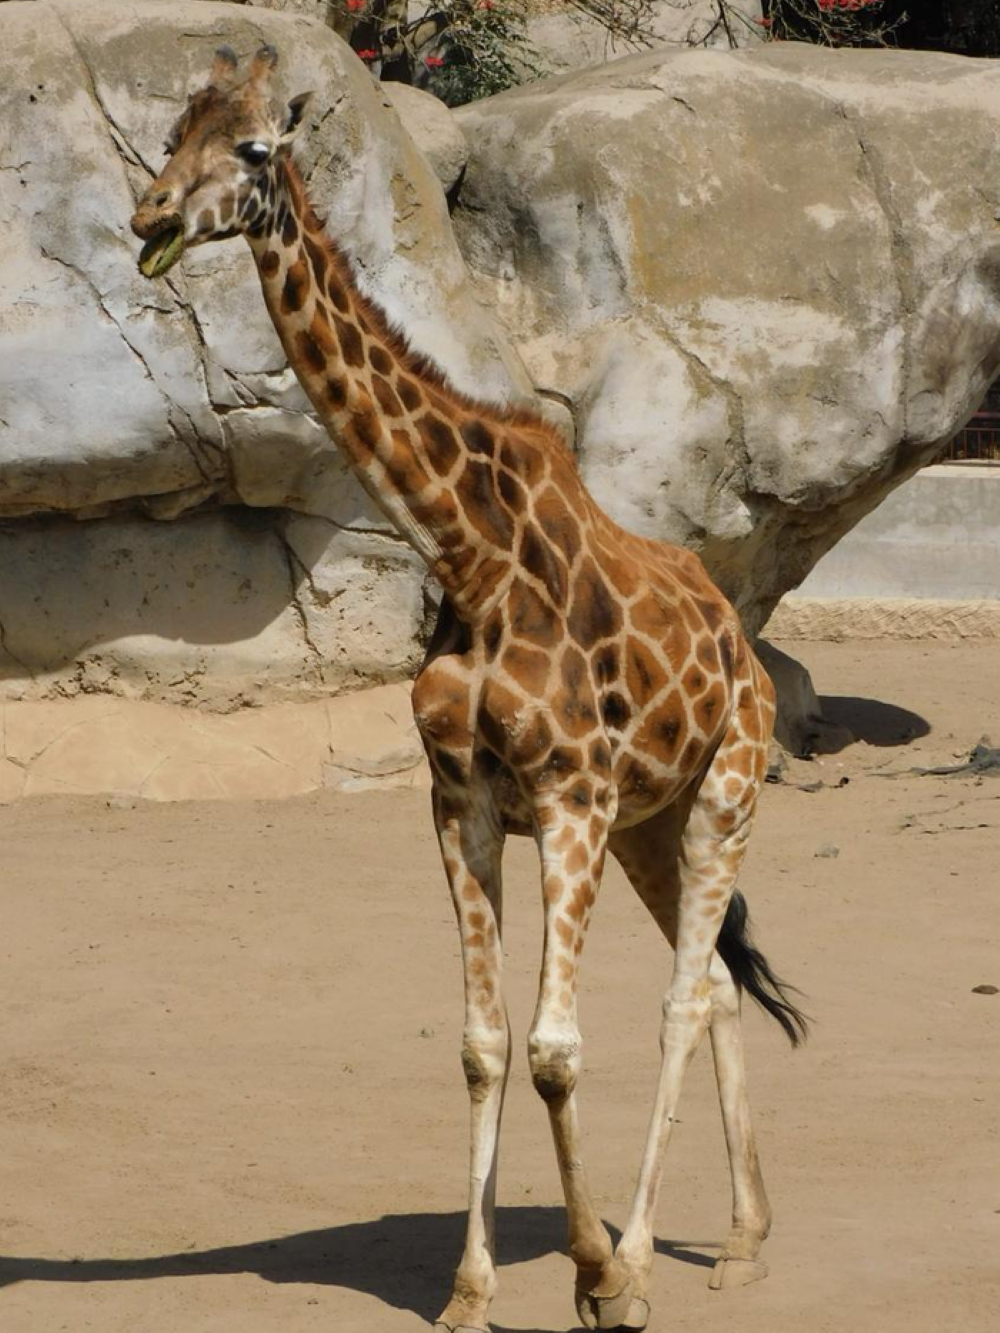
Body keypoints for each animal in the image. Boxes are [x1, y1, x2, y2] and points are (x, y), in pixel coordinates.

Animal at [130, 45, 807, 1333]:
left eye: (251, 149)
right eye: (169, 133)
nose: (147, 218)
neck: (469, 550)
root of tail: (745, 654)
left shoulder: (569, 796)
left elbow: (554, 1047)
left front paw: (594, 1275)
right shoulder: (465, 799)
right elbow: (485, 1045)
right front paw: (468, 1288)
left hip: (726, 794)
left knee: (680, 998)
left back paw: (646, 1258)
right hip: (651, 826)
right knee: (715, 988)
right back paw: (745, 1239)